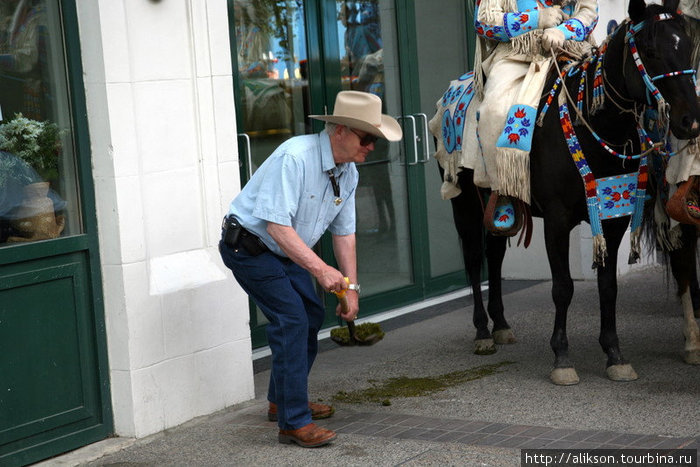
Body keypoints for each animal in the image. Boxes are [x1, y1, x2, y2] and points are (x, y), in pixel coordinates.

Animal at [430, 0, 700, 384]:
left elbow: (608, 287)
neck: (594, 126)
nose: (690, 122)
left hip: (495, 204)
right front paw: (561, 358)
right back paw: (483, 332)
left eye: (686, 46)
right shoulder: (557, 220)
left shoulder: (612, 218)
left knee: (494, 255)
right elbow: (563, 287)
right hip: (464, 203)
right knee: (473, 259)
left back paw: (501, 325)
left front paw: (614, 355)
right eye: (649, 51)